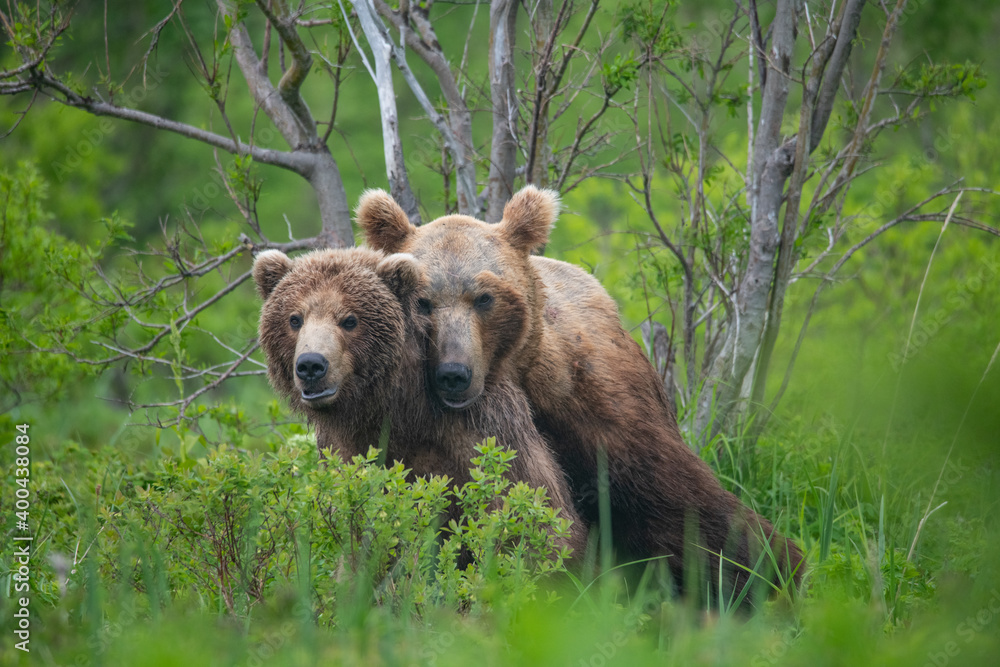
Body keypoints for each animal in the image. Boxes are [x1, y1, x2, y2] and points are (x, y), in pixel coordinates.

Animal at [252, 246, 587, 557]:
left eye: (349, 320)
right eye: (294, 318)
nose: (311, 365)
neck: (398, 409)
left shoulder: (482, 434)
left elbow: (530, 515)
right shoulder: (344, 451)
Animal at [357, 187, 804, 608]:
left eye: (484, 296)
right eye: (424, 301)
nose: (454, 374)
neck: (526, 379)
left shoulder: (600, 410)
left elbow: (689, 508)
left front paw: (770, 571)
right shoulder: (437, 435)